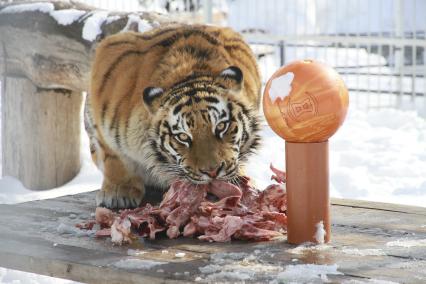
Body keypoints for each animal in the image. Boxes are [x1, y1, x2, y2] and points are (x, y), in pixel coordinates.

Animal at [85, 23, 262, 209]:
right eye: (182, 137)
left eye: (221, 126)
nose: (212, 172)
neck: (190, 73)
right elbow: (114, 157)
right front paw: (119, 192)